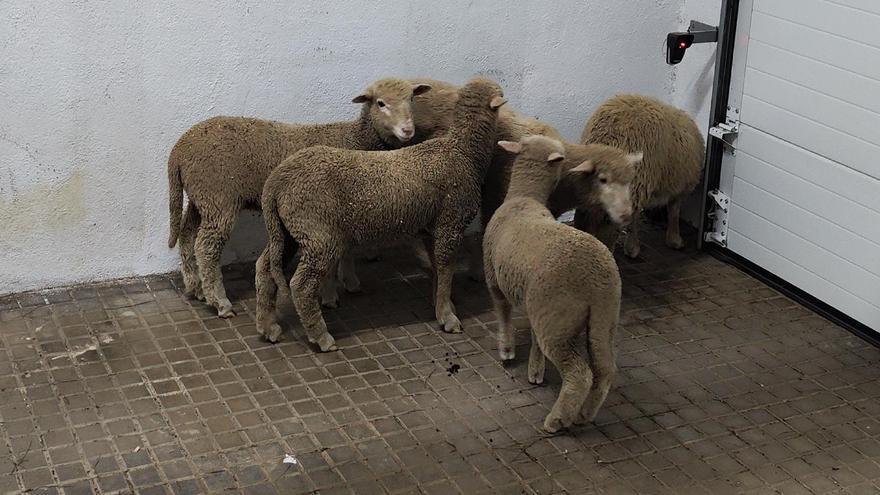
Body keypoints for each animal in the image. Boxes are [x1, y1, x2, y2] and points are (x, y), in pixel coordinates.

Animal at [167, 77, 454, 318]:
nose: (407, 130)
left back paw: (196, 288)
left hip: (201, 198)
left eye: (411, 99)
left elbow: (348, 249)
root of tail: (179, 149)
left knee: (186, 235)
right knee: (206, 247)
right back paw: (220, 302)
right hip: (219, 198)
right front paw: (330, 295)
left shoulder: (349, 204)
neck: (356, 139)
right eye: (381, 103)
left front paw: (349, 281)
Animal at [253, 77, 508, 350]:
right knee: (301, 285)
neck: (462, 151)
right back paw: (321, 337)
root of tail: (277, 181)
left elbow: (437, 270)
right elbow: (445, 268)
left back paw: (268, 327)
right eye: (381, 103)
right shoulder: (451, 222)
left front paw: (441, 304)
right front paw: (448, 317)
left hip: (287, 232)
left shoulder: (432, 227)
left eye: (411, 99)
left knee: (265, 267)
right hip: (318, 234)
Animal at [482, 136, 624, 434]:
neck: (524, 197)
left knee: (580, 374)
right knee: (605, 369)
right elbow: (534, 339)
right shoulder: (537, 306)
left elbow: (503, 314)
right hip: (602, 320)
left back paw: (557, 421)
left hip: (558, 321)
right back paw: (585, 414)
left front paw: (507, 350)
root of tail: (597, 282)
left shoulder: (494, 279)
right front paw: (535, 371)